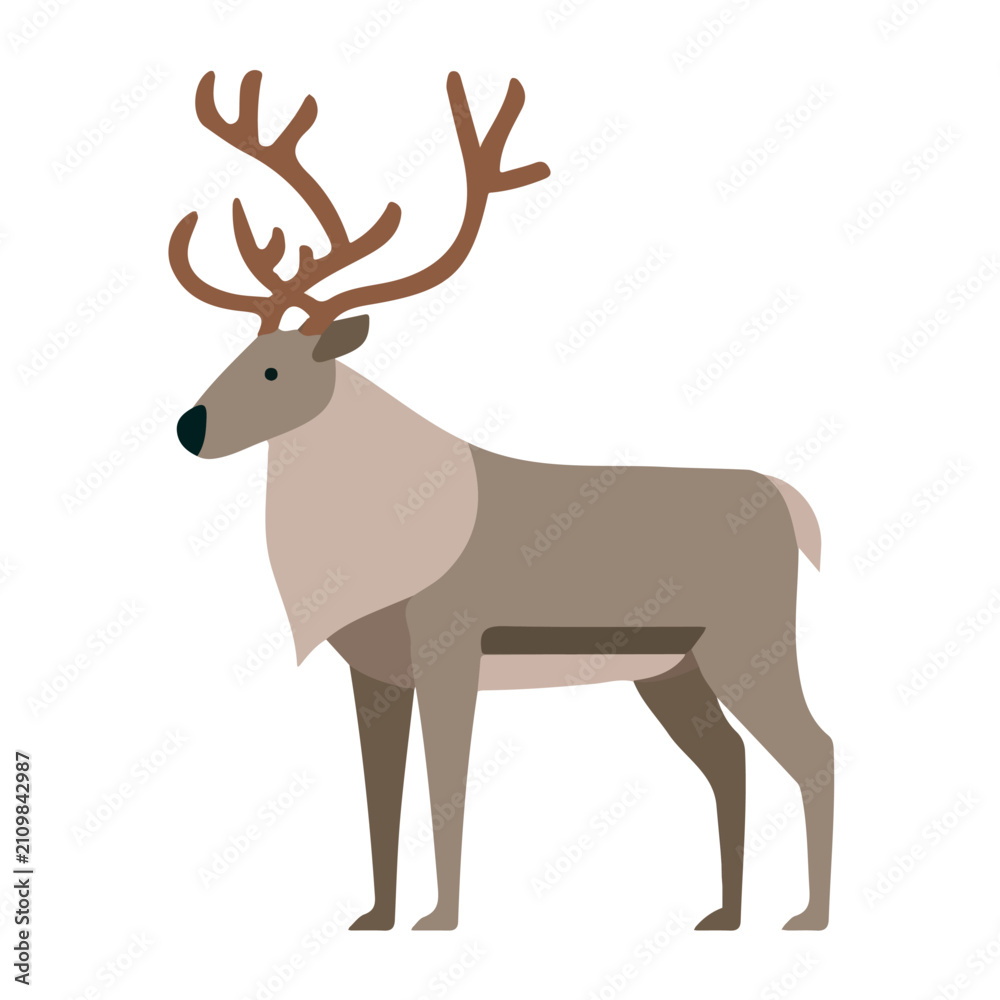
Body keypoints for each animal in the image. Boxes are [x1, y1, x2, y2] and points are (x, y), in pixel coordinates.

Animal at [170, 69, 834, 932]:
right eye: (239, 354)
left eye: (276, 370)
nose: (189, 427)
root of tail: (792, 505)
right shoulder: (375, 671)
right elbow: (379, 795)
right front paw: (375, 918)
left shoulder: (450, 646)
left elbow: (445, 788)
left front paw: (439, 920)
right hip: (673, 669)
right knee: (731, 760)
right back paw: (724, 915)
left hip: (750, 640)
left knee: (815, 749)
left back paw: (809, 916)